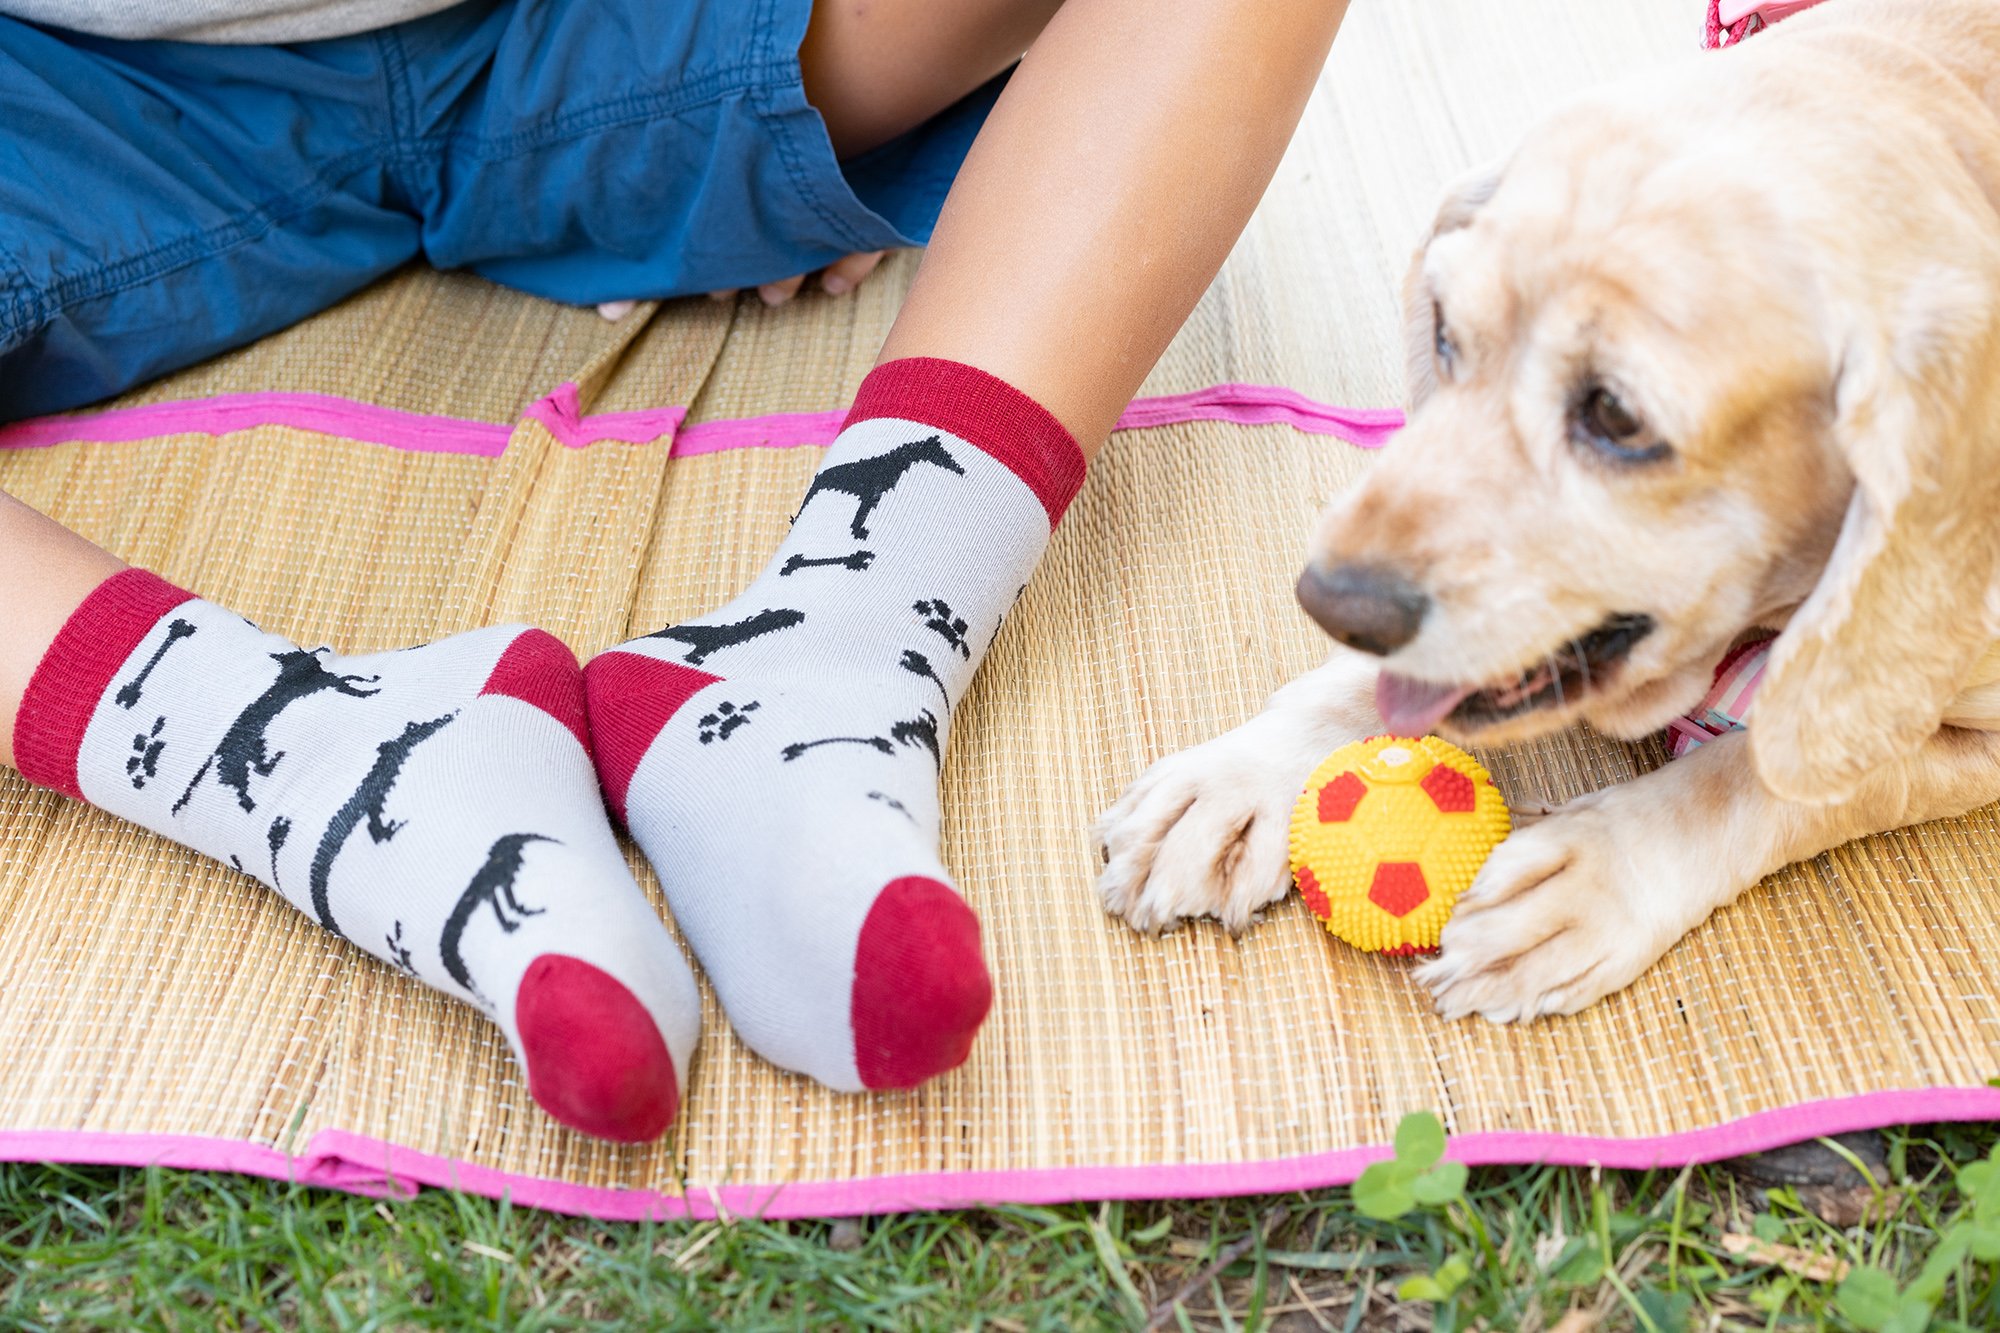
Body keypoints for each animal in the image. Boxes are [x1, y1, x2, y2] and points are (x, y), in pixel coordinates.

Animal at [1088, 0, 2000, 1020]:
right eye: (1444, 331)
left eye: (1616, 416)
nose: (1328, 602)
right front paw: (1247, 771)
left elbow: (1777, 779)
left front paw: (1597, 871)